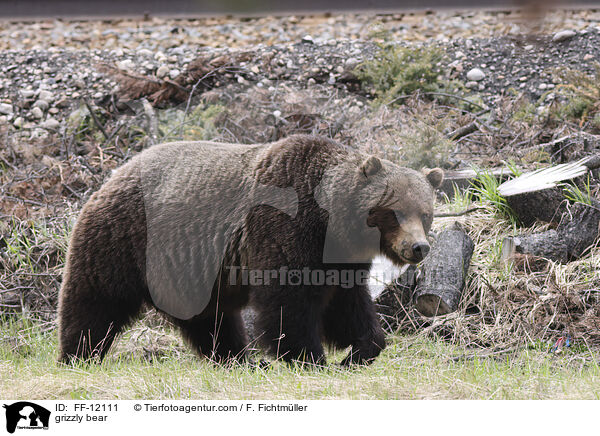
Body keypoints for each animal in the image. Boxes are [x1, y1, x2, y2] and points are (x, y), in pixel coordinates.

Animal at [57, 135, 440, 366]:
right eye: (394, 211)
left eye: (425, 213)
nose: (419, 247)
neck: (331, 222)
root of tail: (112, 175)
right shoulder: (283, 227)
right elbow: (288, 302)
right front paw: (309, 357)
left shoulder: (340, 260)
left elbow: (347, 306)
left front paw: (359, 351)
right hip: (125, 238)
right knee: (96, 300)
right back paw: (78, 354)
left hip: (188, 271)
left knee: (209, 319)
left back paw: (235, 358)